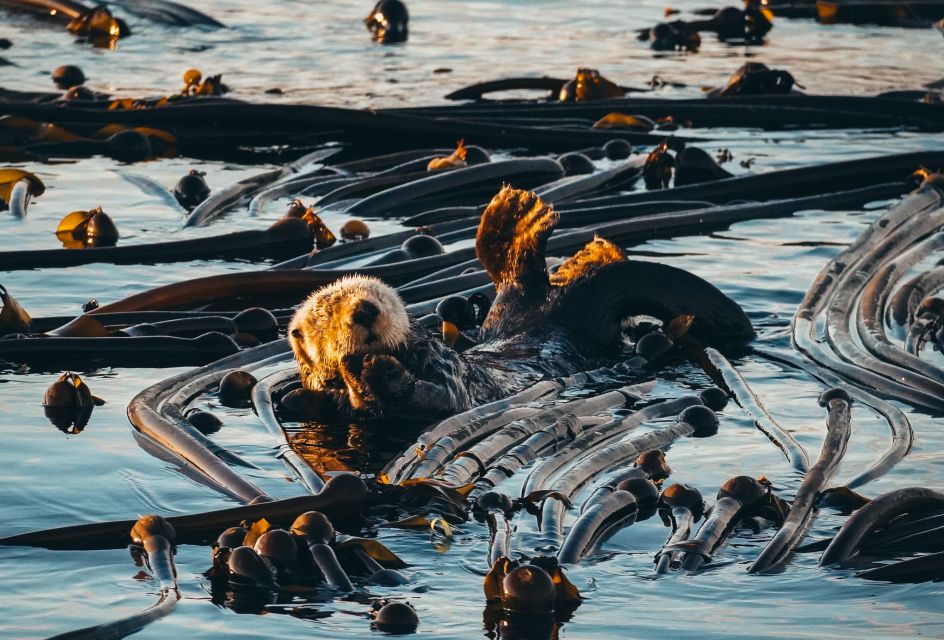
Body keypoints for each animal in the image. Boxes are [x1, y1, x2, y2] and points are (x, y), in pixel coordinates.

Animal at [288, 185, 752, 418]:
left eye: (382, 296)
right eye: (326, 313)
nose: (364, 310)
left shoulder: (447, 376)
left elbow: (433, 394)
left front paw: (377, 370)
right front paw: (361, 372)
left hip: (532, 307)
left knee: (521, 274)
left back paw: (514, 214)